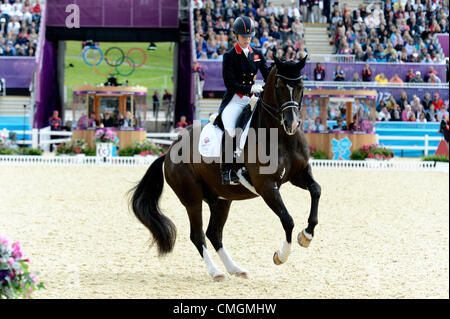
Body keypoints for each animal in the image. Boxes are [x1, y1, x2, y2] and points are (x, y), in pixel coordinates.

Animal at [130, 56, 320, 282]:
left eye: (300, 86)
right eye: (280, 86)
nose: (291, 124)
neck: (281, 136)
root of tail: (168, 152)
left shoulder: (299, 174)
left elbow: (316, 190)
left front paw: (307, 235)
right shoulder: (266, 186)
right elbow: (287, 220)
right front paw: (281, 256)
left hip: (221, 199)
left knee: (214, 234)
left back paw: (235, 269)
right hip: (192, 198)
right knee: (198, 235)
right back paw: (216, 272)